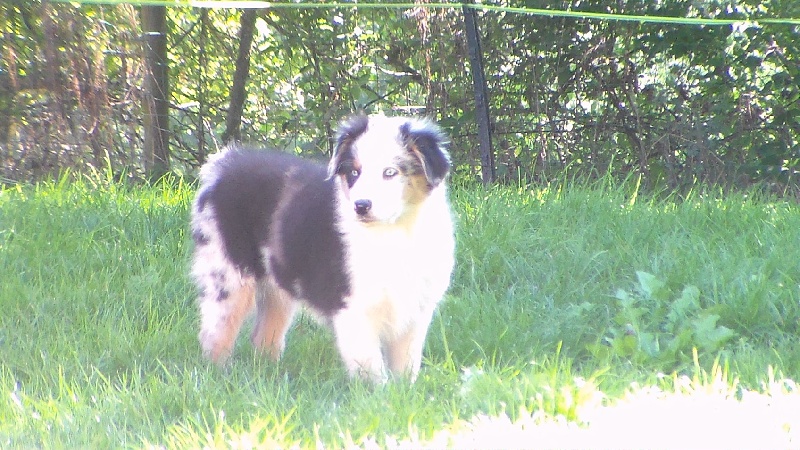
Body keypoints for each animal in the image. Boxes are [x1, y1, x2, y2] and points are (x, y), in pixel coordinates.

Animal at [190, 115, 455, 382]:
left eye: (390, 172)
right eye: (354, 172)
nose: (361, 206)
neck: (394, 232)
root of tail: (223, 165)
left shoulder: (415, 309)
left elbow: (406, 366)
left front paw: (403, 391)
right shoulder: (353, 307)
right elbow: (371, 368)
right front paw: (377, 392)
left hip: (277, 284)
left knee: (264, 336)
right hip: (228, 273)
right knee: (216, 333)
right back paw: (219, 376)